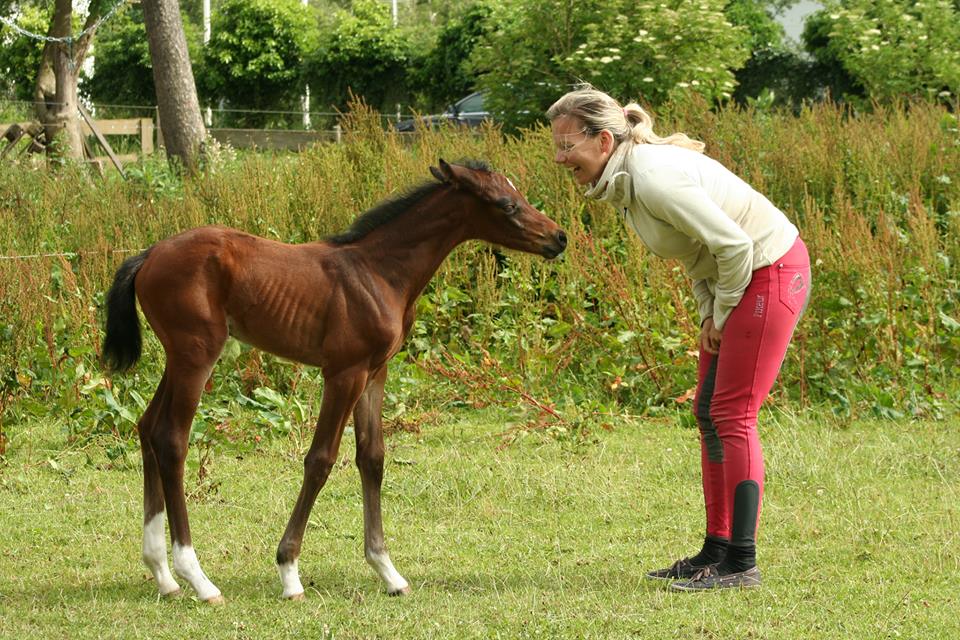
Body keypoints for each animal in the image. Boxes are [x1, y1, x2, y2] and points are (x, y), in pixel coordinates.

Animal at [103, 159, 568, 600]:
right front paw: (289, 572)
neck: (380, 272)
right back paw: (198, 579)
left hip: (178, 358)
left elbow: (372, 458)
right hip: (197, 355)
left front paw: (388, 572)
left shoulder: (375, 372)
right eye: (506, 204)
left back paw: (163, 575)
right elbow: (321, 459)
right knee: (172, 439)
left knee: (148, 427)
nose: (559, 237)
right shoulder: (344, 373)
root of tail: (149, 255)